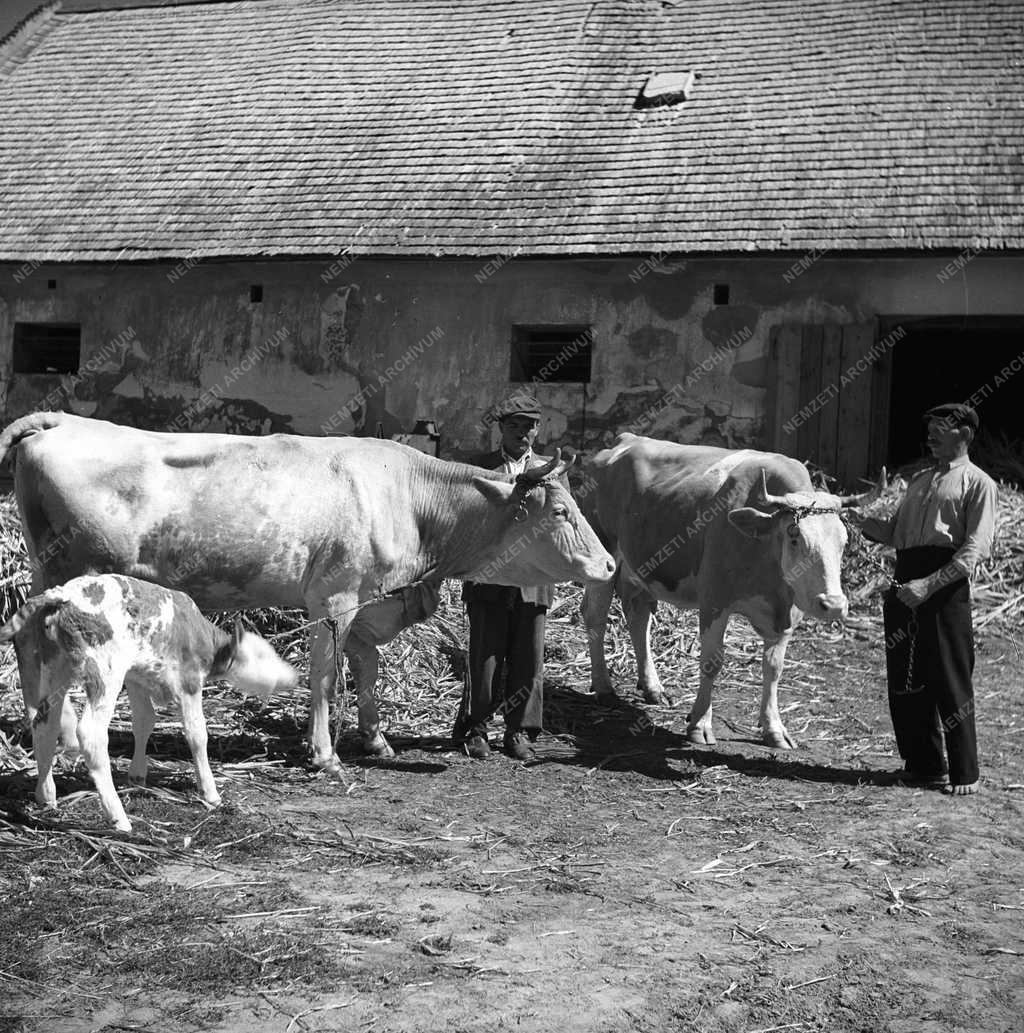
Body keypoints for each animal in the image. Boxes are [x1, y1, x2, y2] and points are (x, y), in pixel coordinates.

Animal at [0, 409, 611, 768]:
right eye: (560, 511)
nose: (607, 565)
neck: (412, 499)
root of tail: (60, 419)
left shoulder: (367, 600)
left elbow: (367, 668)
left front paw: (375, 739)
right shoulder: (335, 599)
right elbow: (324, 677)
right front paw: (324, 754)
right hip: (74, 570)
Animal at [0, 574, 295, 830]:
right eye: (262, 656)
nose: (292, 675)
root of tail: (64, 594)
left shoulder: (137, 677)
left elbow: (145, 721)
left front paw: (138, 775)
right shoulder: (189, 681)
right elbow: (197, 734)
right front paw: (210, 793)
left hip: (55, 666)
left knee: (45, 724)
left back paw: (46, 794)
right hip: (105, 671)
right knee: (91, 734)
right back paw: (119, 818)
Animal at [582, 435, 872, 752]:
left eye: (844, 541)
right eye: (795, 537)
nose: (833, 605)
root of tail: (626, 440)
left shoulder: (788, 614)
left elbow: (774, 668)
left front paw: (774, 728)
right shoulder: (714, 600)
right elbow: (712, 662)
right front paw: (700, 724)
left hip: (642, 568)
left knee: (639, 618)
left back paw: (653, 688)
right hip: (604, 556)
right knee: (595, 616)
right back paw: (604, 687)